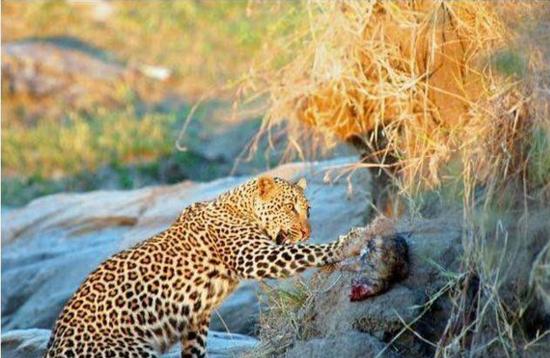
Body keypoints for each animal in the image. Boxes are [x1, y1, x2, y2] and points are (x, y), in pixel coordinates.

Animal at [44, 176, 370, 358]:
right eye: (290, 207)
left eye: (308, 210)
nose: (306, 232)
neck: (240, 207)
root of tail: (55, 345)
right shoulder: (253, 256)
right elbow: (307, 253)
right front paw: (347, 241)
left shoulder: (196, 321)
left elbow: (196, 351)